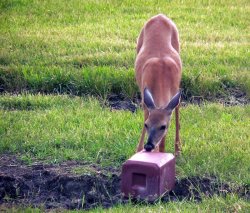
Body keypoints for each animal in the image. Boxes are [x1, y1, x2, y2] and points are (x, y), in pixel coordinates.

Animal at [135, 14, 182, 156]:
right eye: (146, 124)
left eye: (163, 126)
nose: (149, 146)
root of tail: (160, 16)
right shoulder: (145, 97)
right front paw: (139, 149)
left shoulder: (175, 90)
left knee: (177, 109)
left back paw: (178, 148)